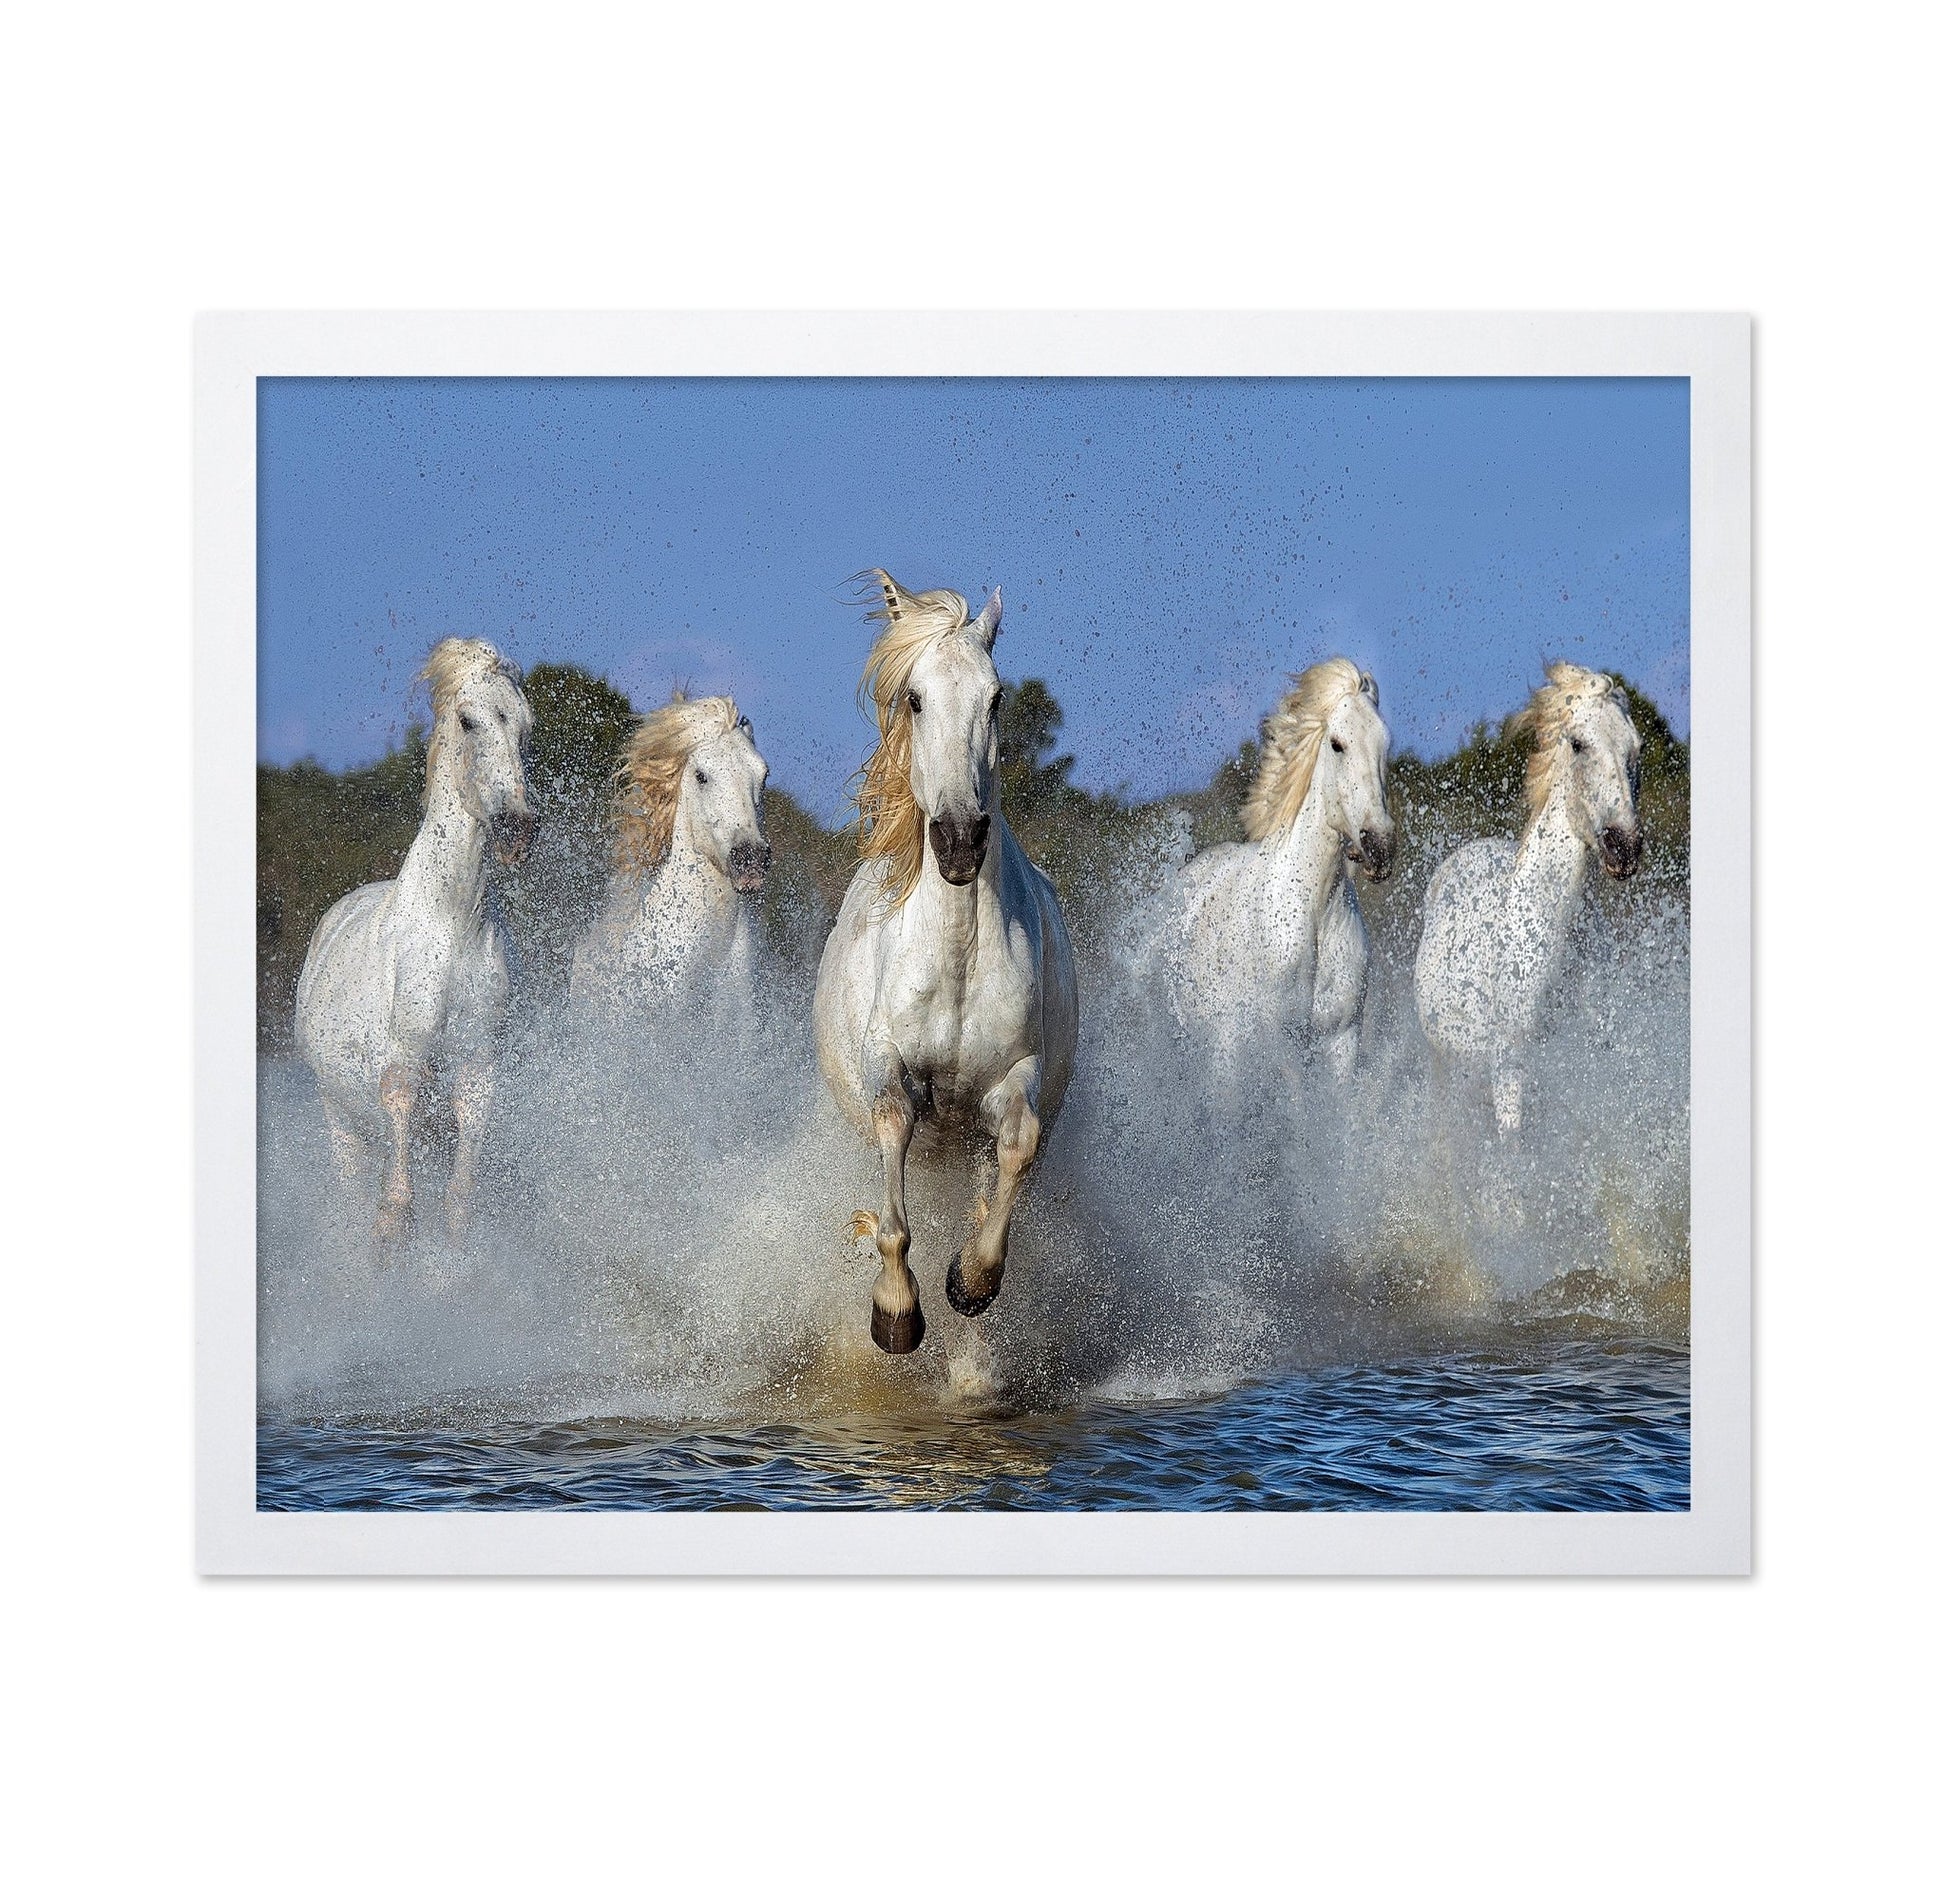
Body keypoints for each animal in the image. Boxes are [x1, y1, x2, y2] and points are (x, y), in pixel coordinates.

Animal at [294, 637, 537, 1246]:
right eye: (468, 720)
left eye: (524, 725)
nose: (517, 830)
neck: (451, 928)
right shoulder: (402, 1062)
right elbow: (398, 1158)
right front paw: (394, 1223)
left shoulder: (477, 1066)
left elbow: (461, 1190)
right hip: (339, 1118)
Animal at [812, 570, 1079, 1355]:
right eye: (915, 698)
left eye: (995, 697)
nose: (960, 840)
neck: (956, 952)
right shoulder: (891, 1075)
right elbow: (894, 1209)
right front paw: (896, 1312)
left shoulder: (1012, 1078)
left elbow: (1017, 1148)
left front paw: (971, 1279)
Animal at [1148, 658, 1395, 1082]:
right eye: (1337, 744)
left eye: (1385, 743)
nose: (1380, 847)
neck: (1316, 911)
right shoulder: (1282, 1045)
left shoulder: (1342, 1041)